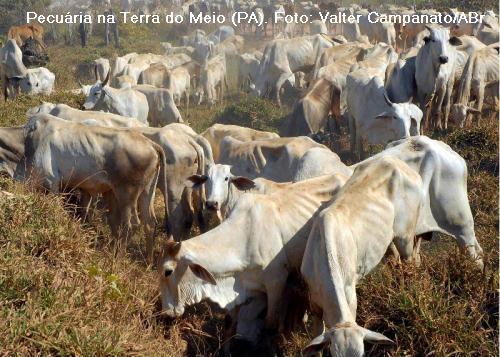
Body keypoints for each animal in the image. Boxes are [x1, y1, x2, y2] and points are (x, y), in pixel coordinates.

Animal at [23, 114, 169, 262]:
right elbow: (85, 212)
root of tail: (151, 144)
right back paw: (148, 261)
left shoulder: (51, 183)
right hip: (147, 191)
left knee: (131, 224)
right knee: (149, 223)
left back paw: (118, 258)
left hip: (127, 194)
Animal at [300, 156, 422, 356]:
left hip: (405, 236)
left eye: (362, 352)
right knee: (396, 261)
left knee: (411, 262)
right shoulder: (314, 304)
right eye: (334, 354)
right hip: (387, 239)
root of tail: (396, 161)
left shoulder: (351, 296)